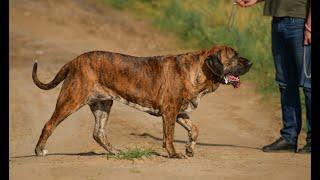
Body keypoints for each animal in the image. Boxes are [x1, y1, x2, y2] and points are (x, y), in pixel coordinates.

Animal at [32, 44, 252, 158]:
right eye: (234, 56)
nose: (251, 62)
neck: (199, 70)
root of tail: (75, 60)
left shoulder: (180, 112)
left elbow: (195, 129)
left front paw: (190, 148)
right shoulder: (170, 112)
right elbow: (169, 136)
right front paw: (174, 154)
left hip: (103, 104)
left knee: (98, 133)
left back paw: (115, 151)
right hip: (71, 99)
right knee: (49, 124)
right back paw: (39, 150)